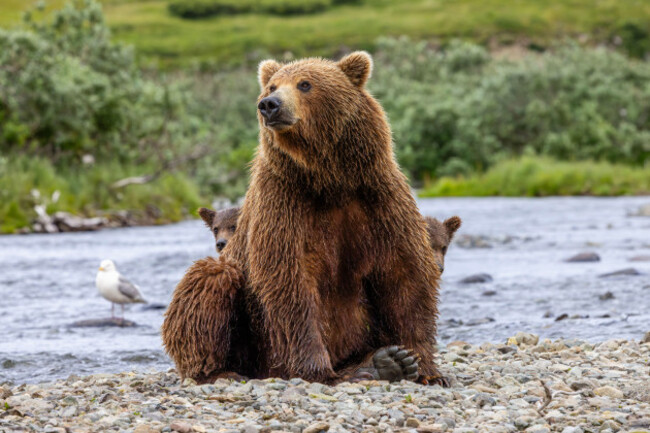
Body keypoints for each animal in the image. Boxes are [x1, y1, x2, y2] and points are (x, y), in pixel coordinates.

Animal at [162, 51, 446, 386]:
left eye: (305, 84)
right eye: (272, 85)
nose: (269, 104)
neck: (329, 179)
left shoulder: (378, 199)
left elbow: (405, 275)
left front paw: (422, 366)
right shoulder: (285, 204)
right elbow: (290, 282)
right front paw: (317, 370)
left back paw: (381, 363)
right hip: (251, 339)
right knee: (208, 283)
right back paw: (221, 371)